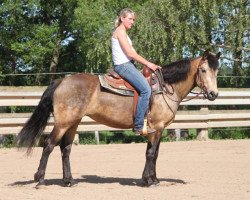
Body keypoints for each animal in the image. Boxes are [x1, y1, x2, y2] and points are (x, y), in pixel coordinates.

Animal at [16, 49, 221, 188]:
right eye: (203, 70)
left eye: (216, 71)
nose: (213, 94)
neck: (166, 87)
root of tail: (61, 81)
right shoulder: (157, 127)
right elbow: (151, 153)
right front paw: (149, 181)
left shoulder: (158, 129)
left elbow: (154, 154)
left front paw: (152, 178)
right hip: (62, 123)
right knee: (49, 145)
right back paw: (40, 179)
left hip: (73, 123)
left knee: (65, 149)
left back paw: (69, 180)